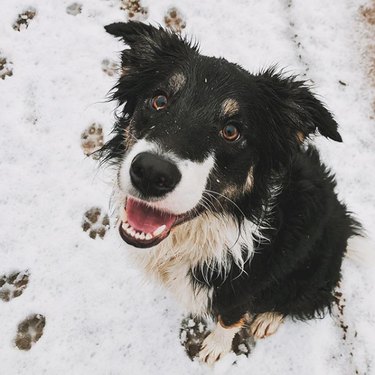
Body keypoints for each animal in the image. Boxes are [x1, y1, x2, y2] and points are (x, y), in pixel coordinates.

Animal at [100, 22, 362, 366]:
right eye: (159, 100)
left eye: (232, 131)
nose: (151, 173)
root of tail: (346, 225)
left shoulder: (244, 287)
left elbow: (230, 319)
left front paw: (215, 347)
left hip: (314, 267)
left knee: (306, 297)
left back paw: (268, 318)